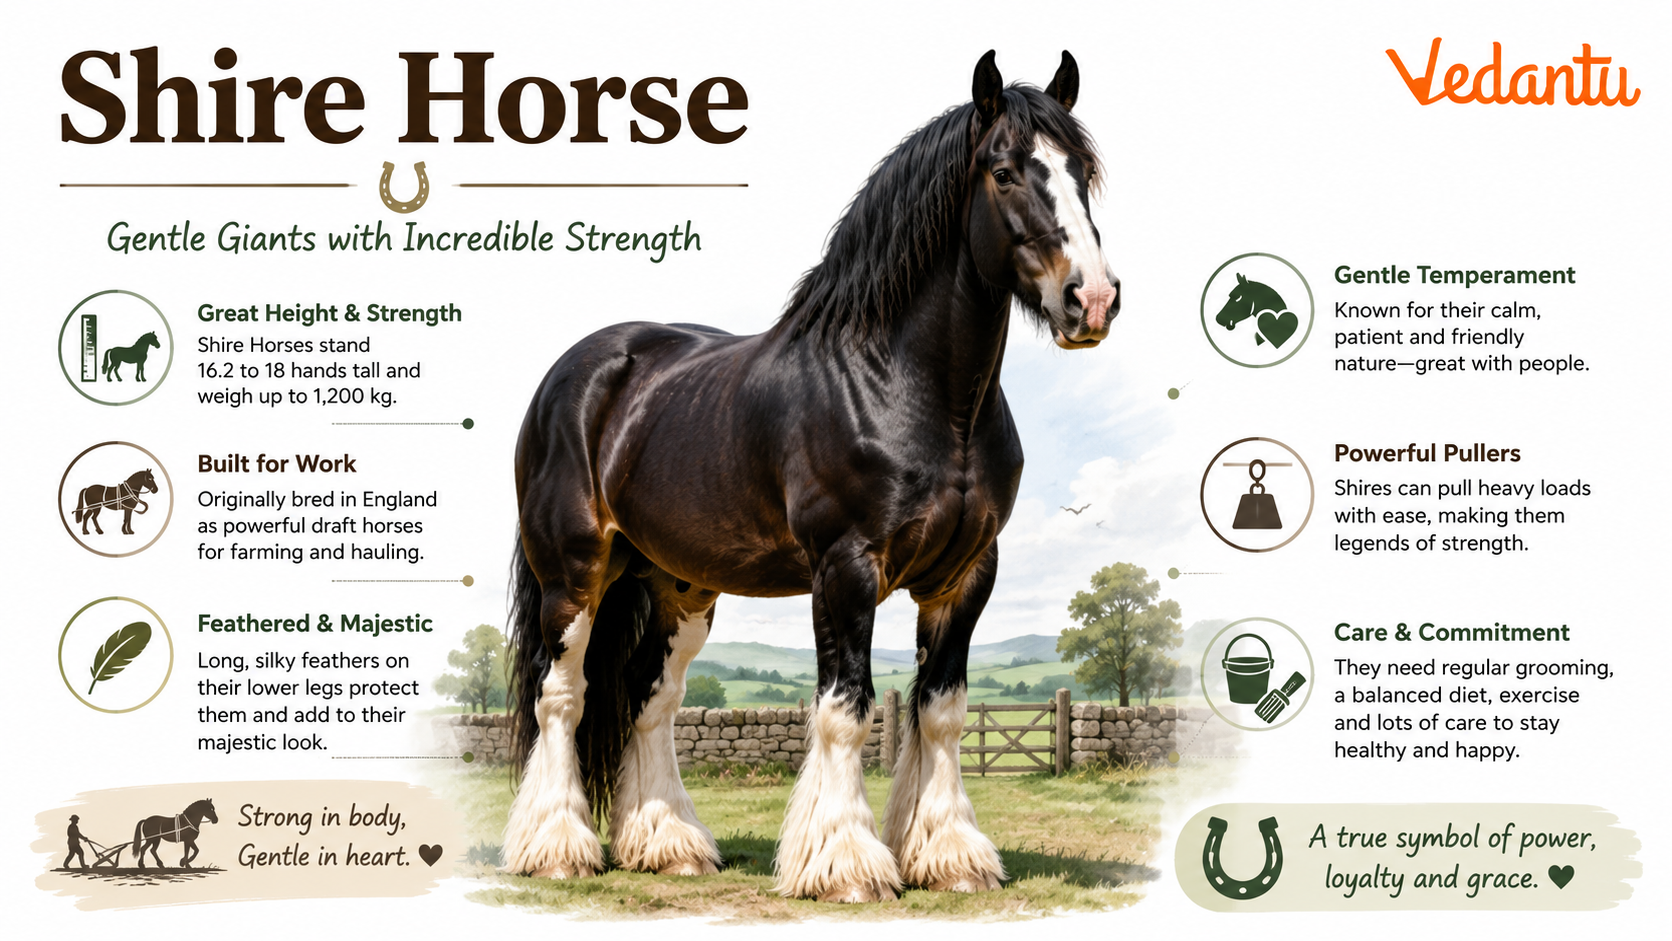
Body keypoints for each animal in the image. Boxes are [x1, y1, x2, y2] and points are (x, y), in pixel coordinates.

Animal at [504, 50, 1118, 903]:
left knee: (651, 702)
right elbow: (844, 709)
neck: (902, 385)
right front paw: (847, 864)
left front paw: (950, 856)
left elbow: (942, 712)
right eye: (1002, 172)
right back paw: (559, 847)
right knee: (562, 697)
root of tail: (575, 372)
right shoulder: (845, 568)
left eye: (1082, 173)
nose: (1091, 300)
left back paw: (669, 844)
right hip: (572, 576)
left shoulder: (965, 576)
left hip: (679, 586)